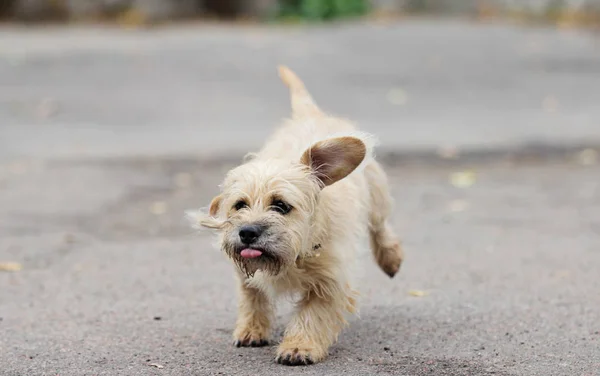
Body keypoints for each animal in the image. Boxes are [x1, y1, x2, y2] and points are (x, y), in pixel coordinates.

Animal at [188, 66, 404, 366]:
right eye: (240, 205)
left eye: (281, 205)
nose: (247, 232)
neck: (294, 254)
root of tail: (310, 114)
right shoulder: (245, 272)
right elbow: (252, 296)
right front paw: (252, 329)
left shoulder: (330, 282)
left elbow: (313, 315)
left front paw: (299, 346)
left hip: (377, 196)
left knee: (381, 228)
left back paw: (391, 258)